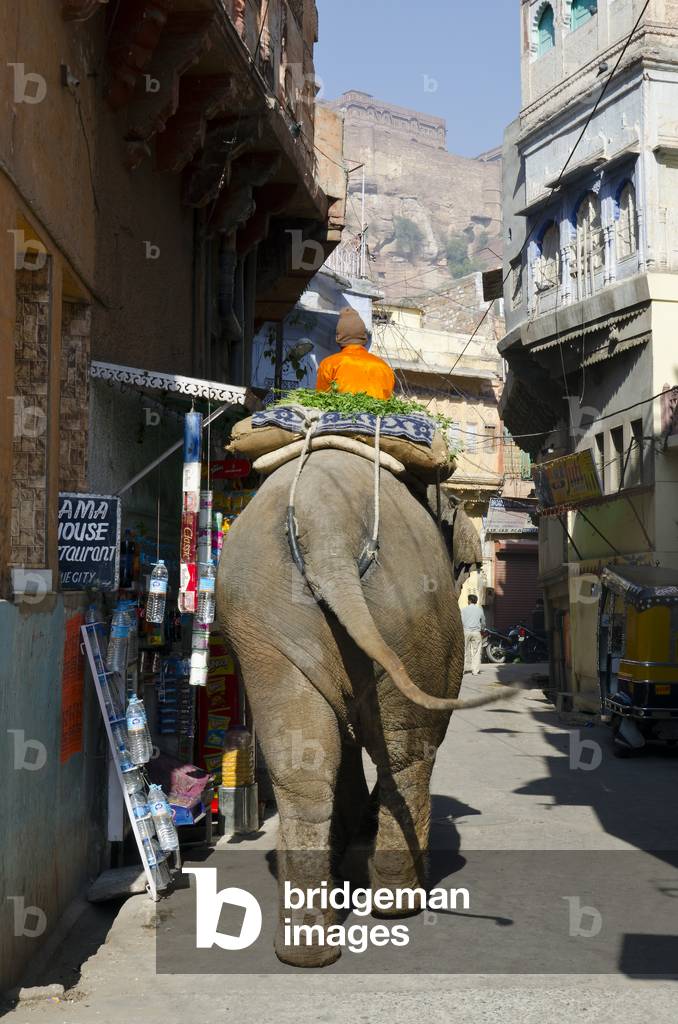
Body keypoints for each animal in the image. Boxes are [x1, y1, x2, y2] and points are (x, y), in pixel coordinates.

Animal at [216, 449, 501, 967]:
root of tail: (326, 525)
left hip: (264, 619)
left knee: (302, 761)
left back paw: (306, 949)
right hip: (415, 613)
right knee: (409, 752)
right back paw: (398, 903)